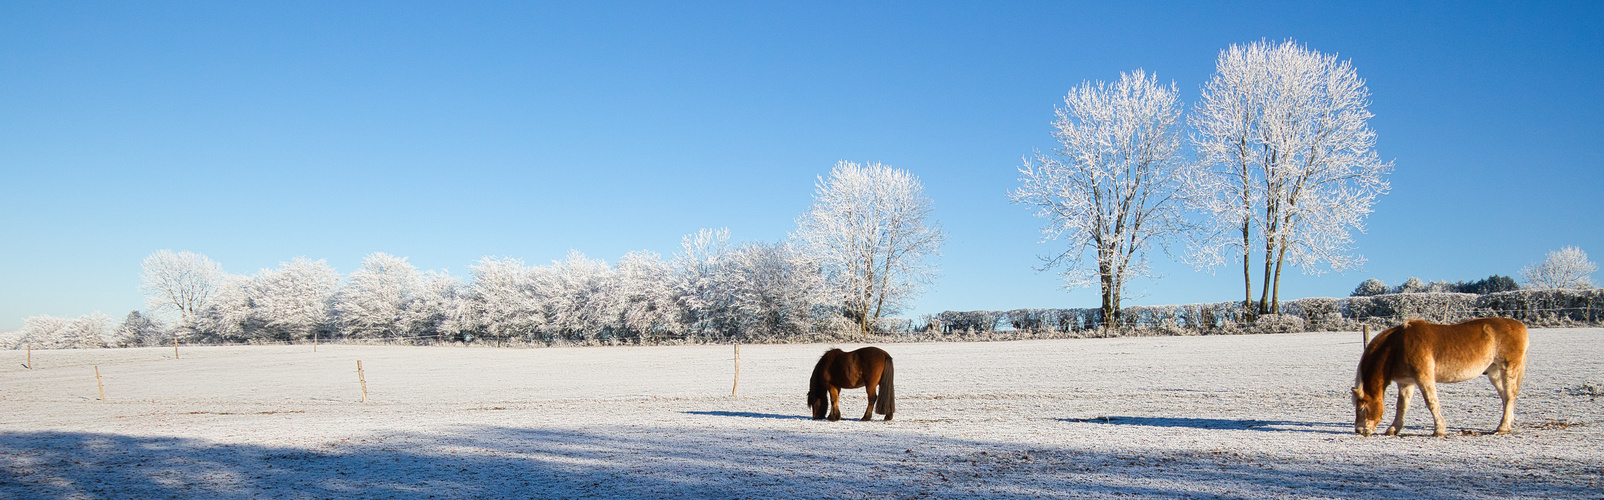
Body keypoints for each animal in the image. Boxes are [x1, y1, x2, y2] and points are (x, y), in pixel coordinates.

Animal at [1353, 318, 1527, 435]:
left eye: (1361, 408)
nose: (1359, 430)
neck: (1397, 345)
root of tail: (1520, 325)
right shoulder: (1406, 383)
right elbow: (1402, 406)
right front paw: (1393, 428)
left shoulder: (1424, 379)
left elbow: (1431, 403)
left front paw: (1439, 429)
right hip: (1494, 373)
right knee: (1505, 397)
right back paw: (1508, 424)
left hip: (1508, 369)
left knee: (1510, 396)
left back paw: (1502, 427)